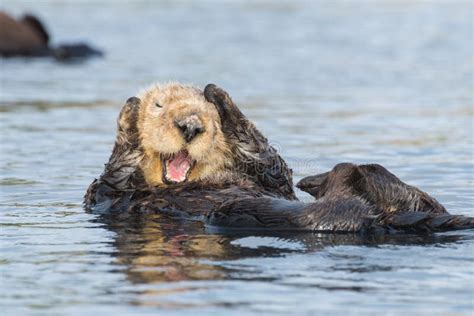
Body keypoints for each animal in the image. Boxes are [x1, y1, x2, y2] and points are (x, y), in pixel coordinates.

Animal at [85, 82, 474, 233]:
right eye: (159, 106)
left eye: (208, 117)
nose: (191, 125)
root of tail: (383, 218)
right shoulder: (107, 195)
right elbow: (116, 169)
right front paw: (130, 114)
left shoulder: (269, 179)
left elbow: (271, 163)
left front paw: (219, 95)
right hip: (239, 213)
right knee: (347, 200)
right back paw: (332, 178)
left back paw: (326, 178)